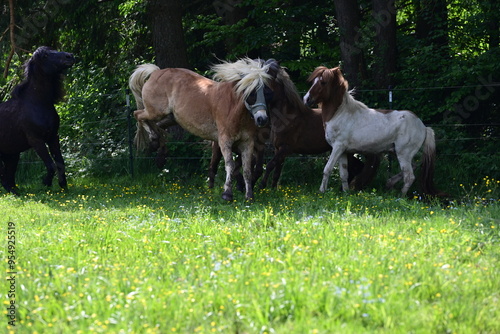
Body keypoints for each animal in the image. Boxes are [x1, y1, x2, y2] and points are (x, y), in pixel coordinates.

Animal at [0, 45, 74, 194]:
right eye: (45, 55)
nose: (70, 56)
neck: (37, 104)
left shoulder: (53, 137)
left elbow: (60, 163)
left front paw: (63, 186)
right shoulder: (36, 140)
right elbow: (51, 165)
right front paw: (46, 183)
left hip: (12, 155)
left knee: (9, 175)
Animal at [129, 58, 278, 201]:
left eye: (267, 92)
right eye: (251, 93)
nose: (262, 119)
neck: (234, 109)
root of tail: (156, 72)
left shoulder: (247, 143)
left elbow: (247, 169)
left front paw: (249, 196)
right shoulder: (224, 141)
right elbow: (229, 164)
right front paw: (227, 194)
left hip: (170, 117)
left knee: (159, 127)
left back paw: (159, 153)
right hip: (155, 112)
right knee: (138, 114)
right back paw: (154, 141)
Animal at [302, 66, 440, 196]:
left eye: (323, 82)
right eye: (314, 81)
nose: (306, 99)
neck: (340, 114)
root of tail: (423, 127)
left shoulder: (337, 147)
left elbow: (327, 169)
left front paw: (321, 191)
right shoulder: (343, 151)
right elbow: (344, 174)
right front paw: (346, 193)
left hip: (404, 154)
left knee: (409, 177)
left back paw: (400, 197)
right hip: (397, 152)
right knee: (414, 167)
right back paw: (389, 185)